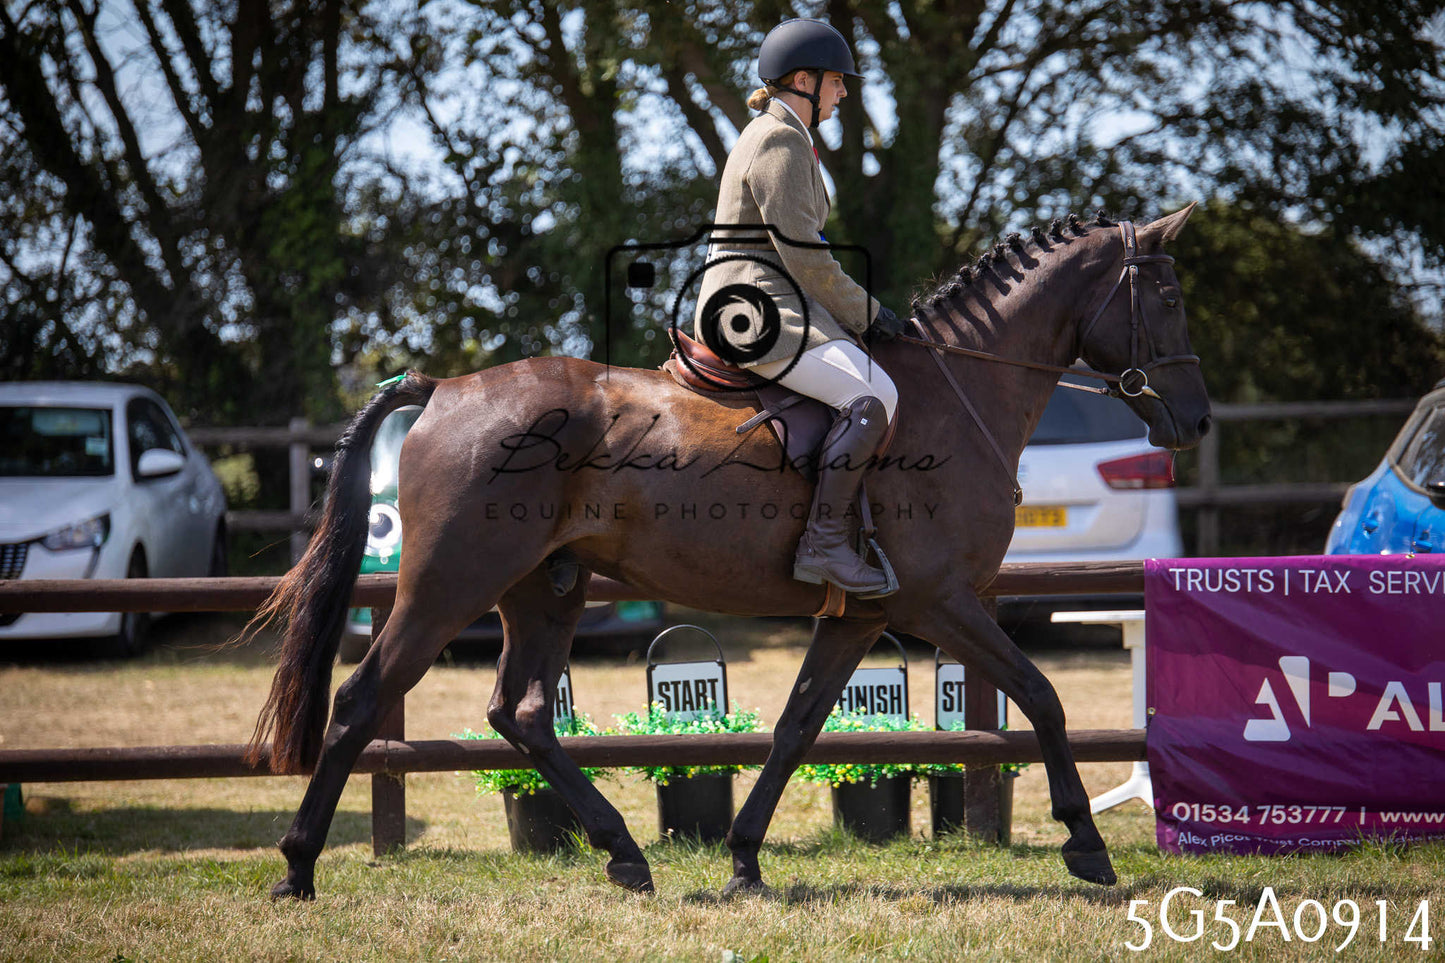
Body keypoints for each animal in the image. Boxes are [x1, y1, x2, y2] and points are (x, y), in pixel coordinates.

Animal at [246, 205, 1211, 900]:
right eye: (1166, 299)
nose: (1196, 419)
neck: (958, 389)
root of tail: (445, 388)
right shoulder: (940, 600)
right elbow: (1043, 697)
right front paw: (1085, 843)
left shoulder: (862, 615)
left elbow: (795, 726)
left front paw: (744, 858)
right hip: (449, 584)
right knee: (363, 701)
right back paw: (296, 866)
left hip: (543, 589)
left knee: (519, 713)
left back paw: (623, 853)